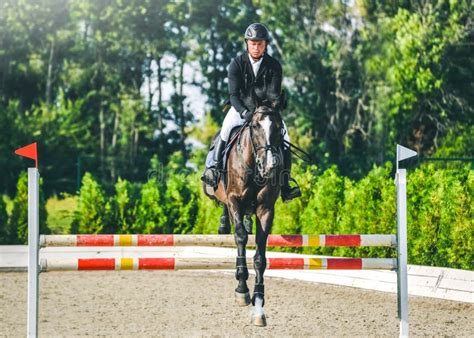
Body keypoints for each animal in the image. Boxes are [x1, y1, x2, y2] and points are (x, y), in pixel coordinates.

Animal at [202, 99, 284, 326]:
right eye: (255, 126)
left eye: (279, 128)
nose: (270, 166)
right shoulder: (234, 200)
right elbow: (240, 237)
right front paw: (241, 290)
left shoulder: (266, 209)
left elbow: (260, 255)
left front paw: (259, 301)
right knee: (228, 216)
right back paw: (224, 224)